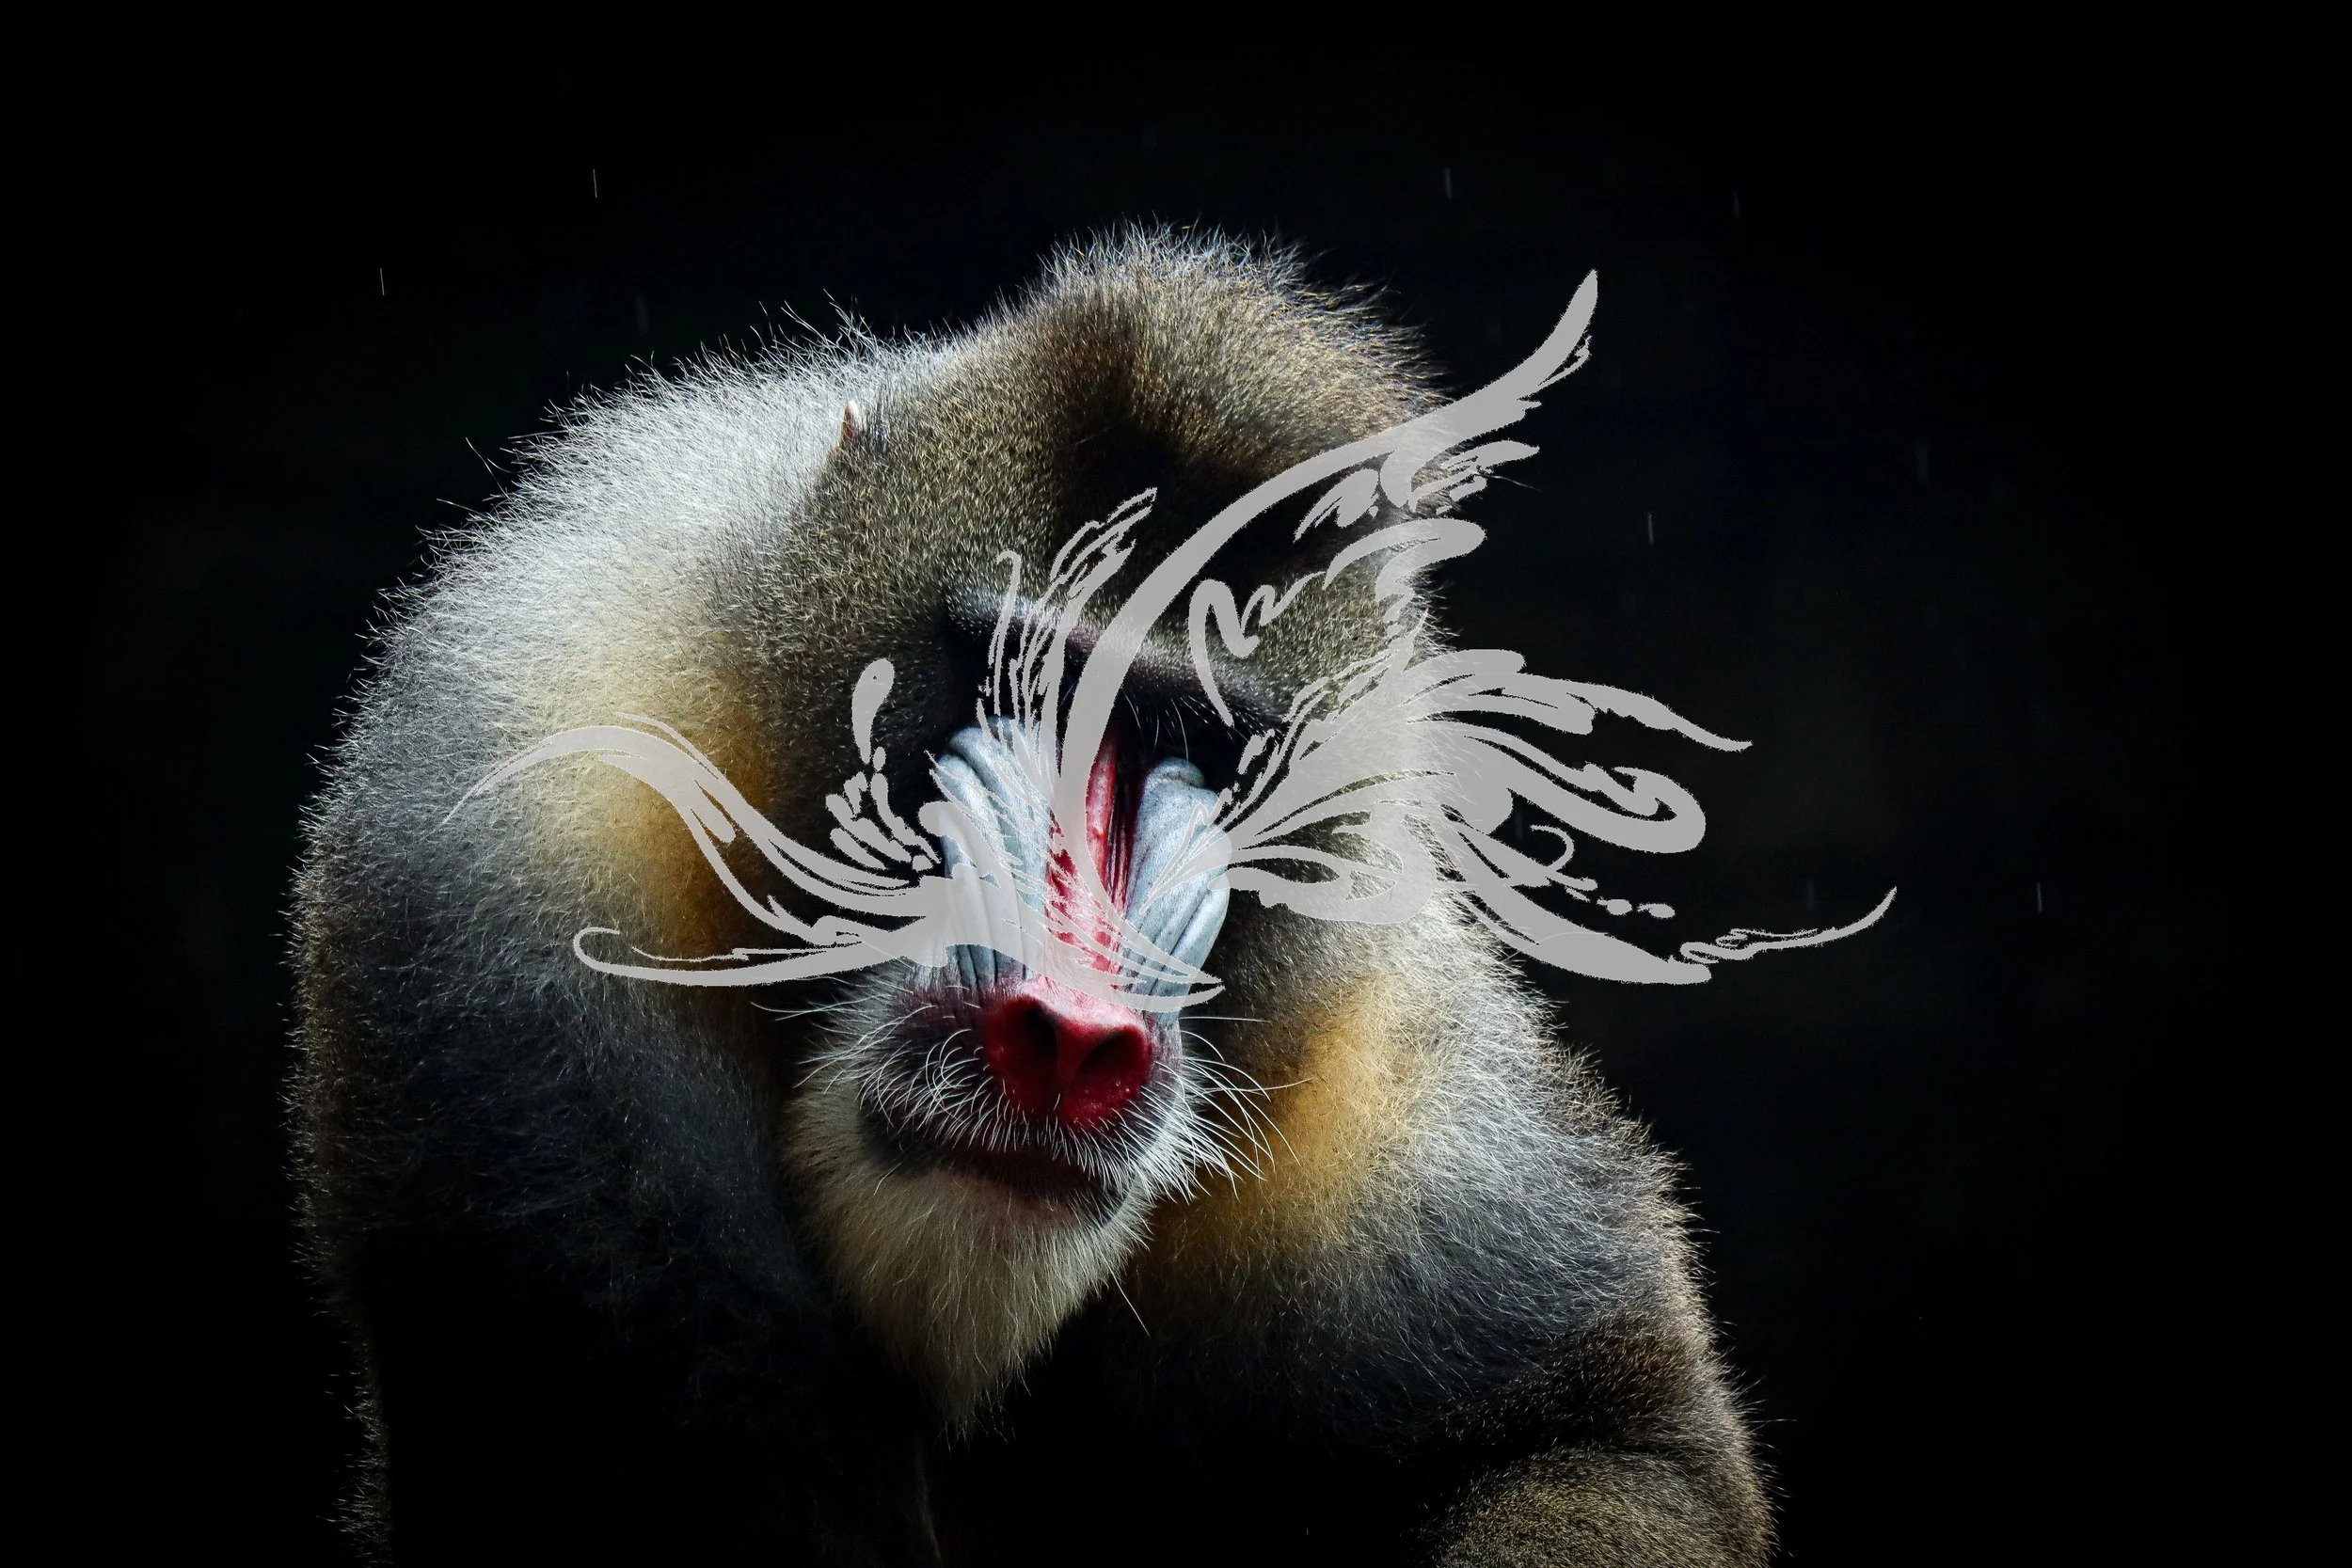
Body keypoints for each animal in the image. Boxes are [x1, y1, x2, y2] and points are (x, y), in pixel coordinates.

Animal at [293, 229, 1772, 1565]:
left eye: (1194, 740)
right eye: (1026, 681)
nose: (1063, 1034)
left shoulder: (1404, 1136)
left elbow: (1609, 1446)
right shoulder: (532, 842)